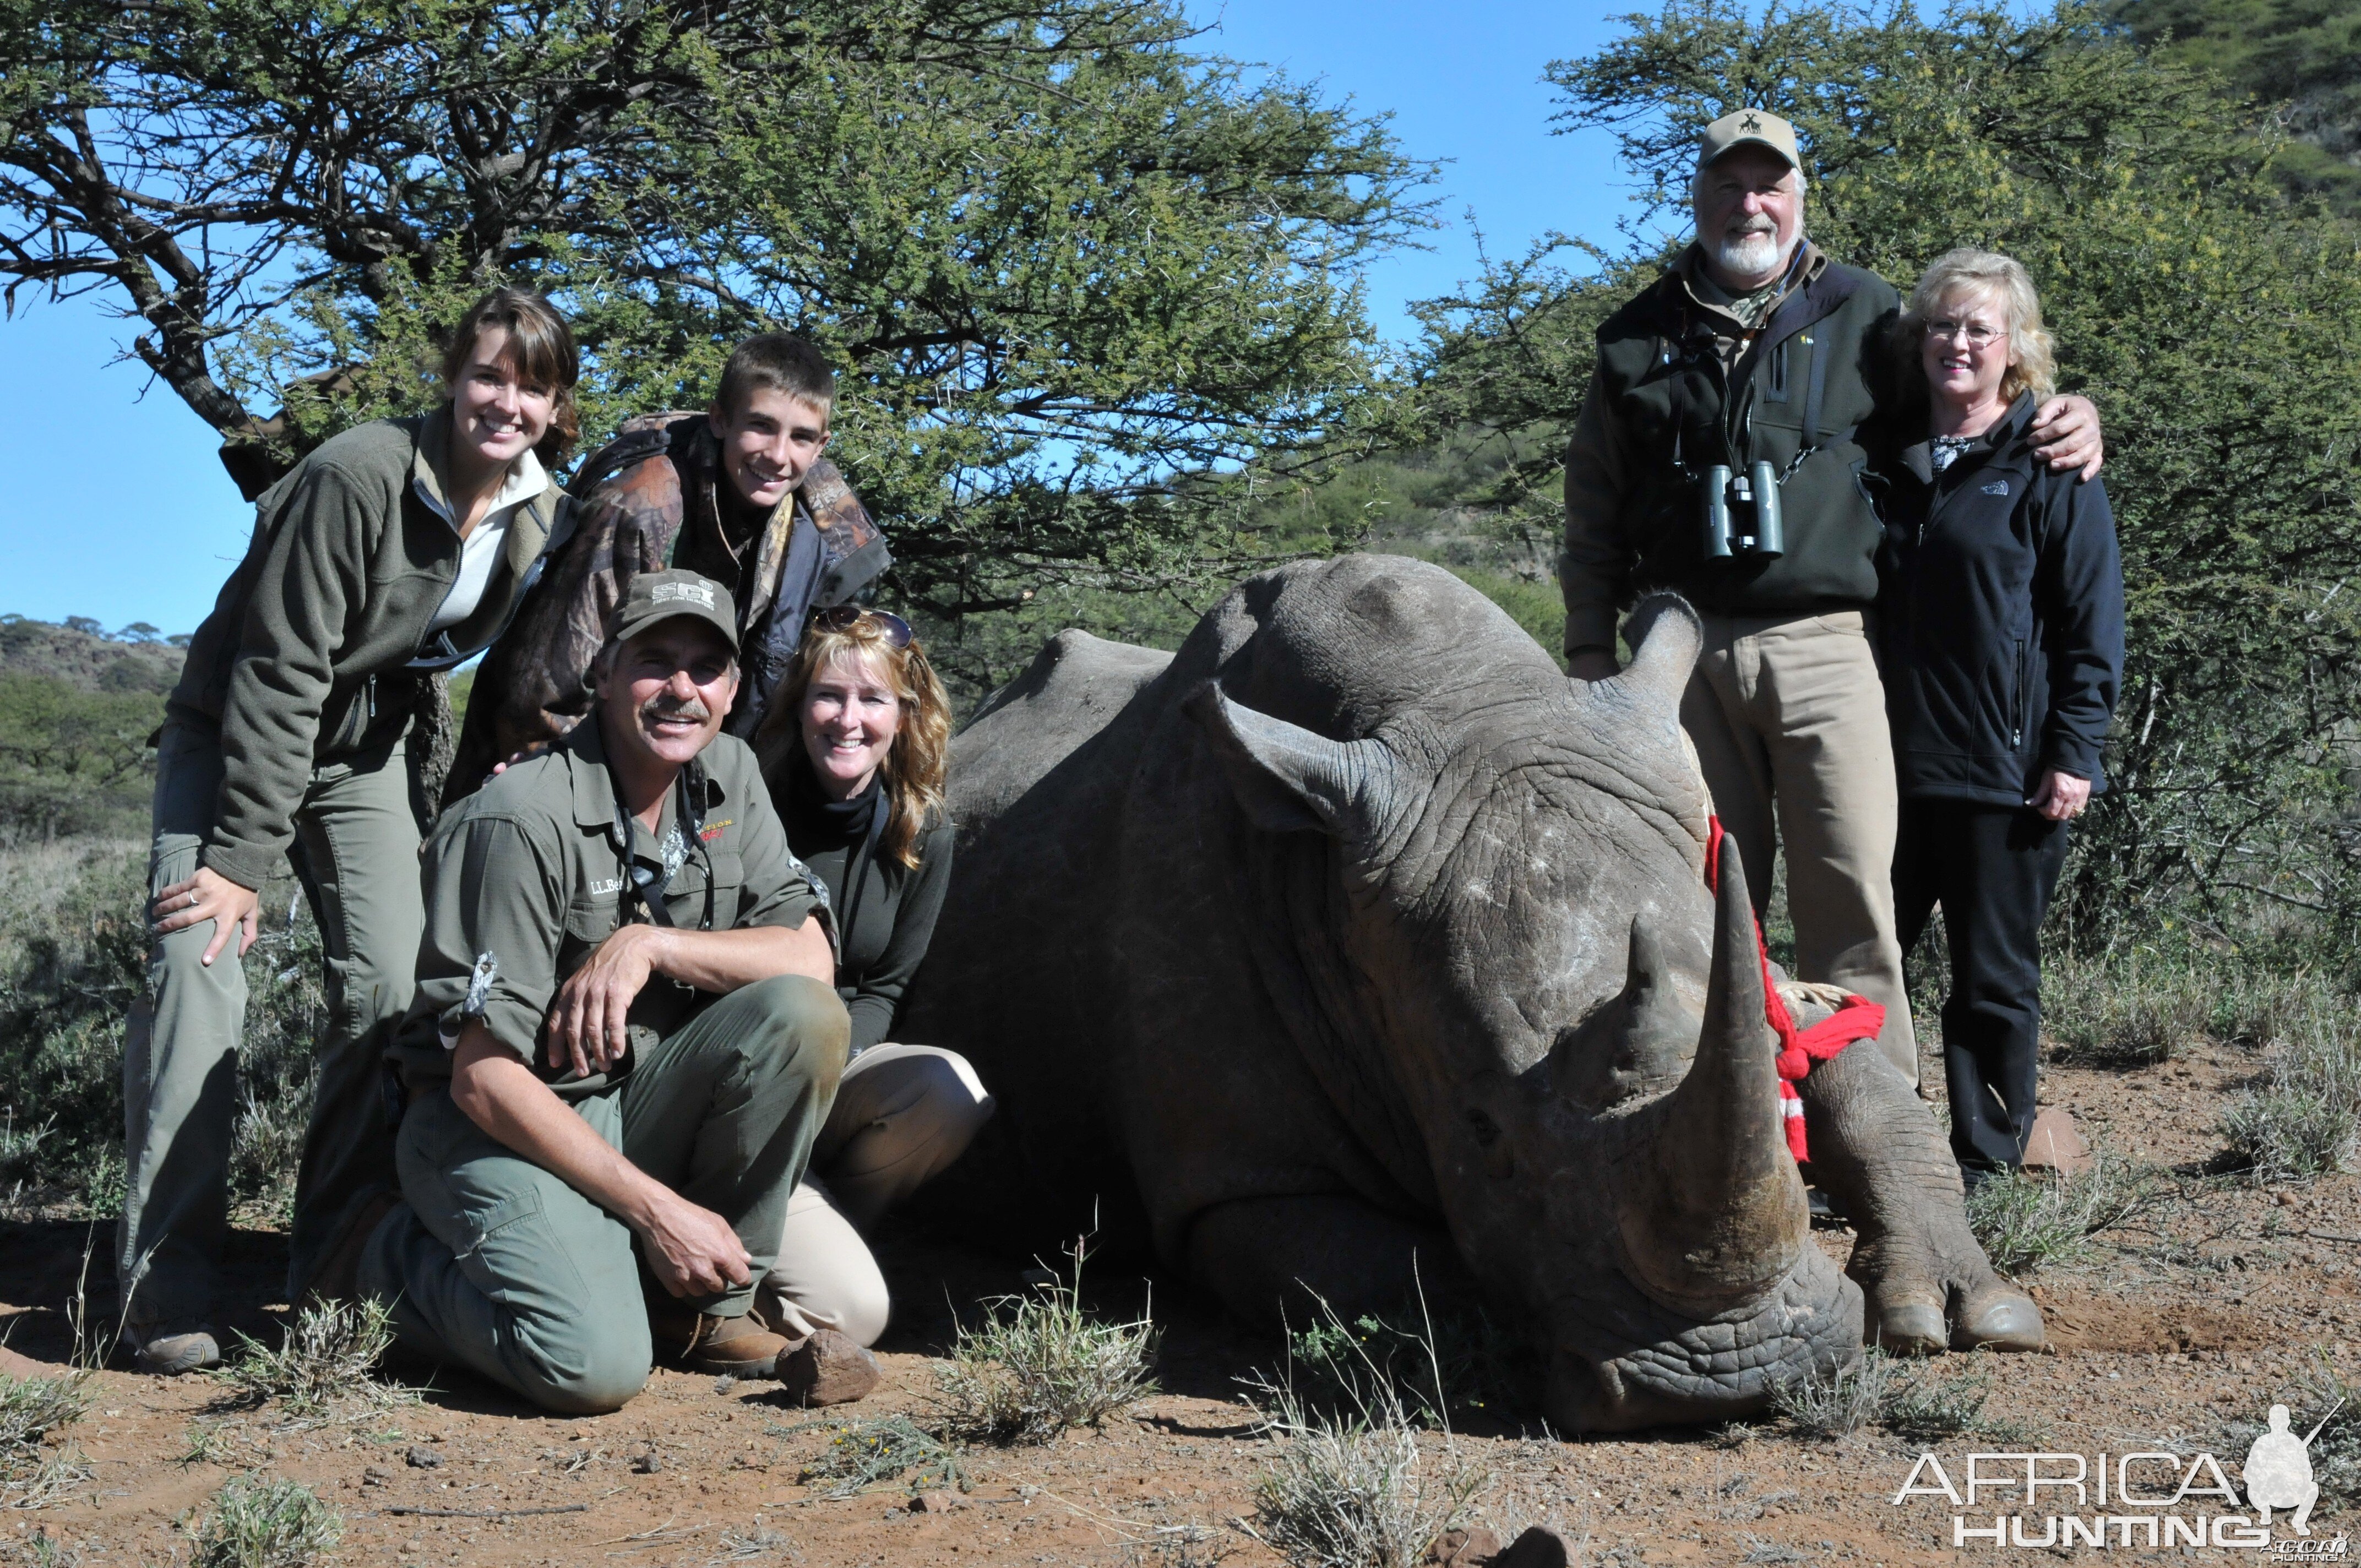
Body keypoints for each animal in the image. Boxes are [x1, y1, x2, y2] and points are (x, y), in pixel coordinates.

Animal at [892, 554, 2039, 1435]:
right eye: (1480, 1131)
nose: (1738, 1375)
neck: (1456, 702)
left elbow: (1845, 1051)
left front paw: (1968, 1310)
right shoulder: (1234, 1179)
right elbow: (1395, 1267)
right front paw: (1525, 1333)